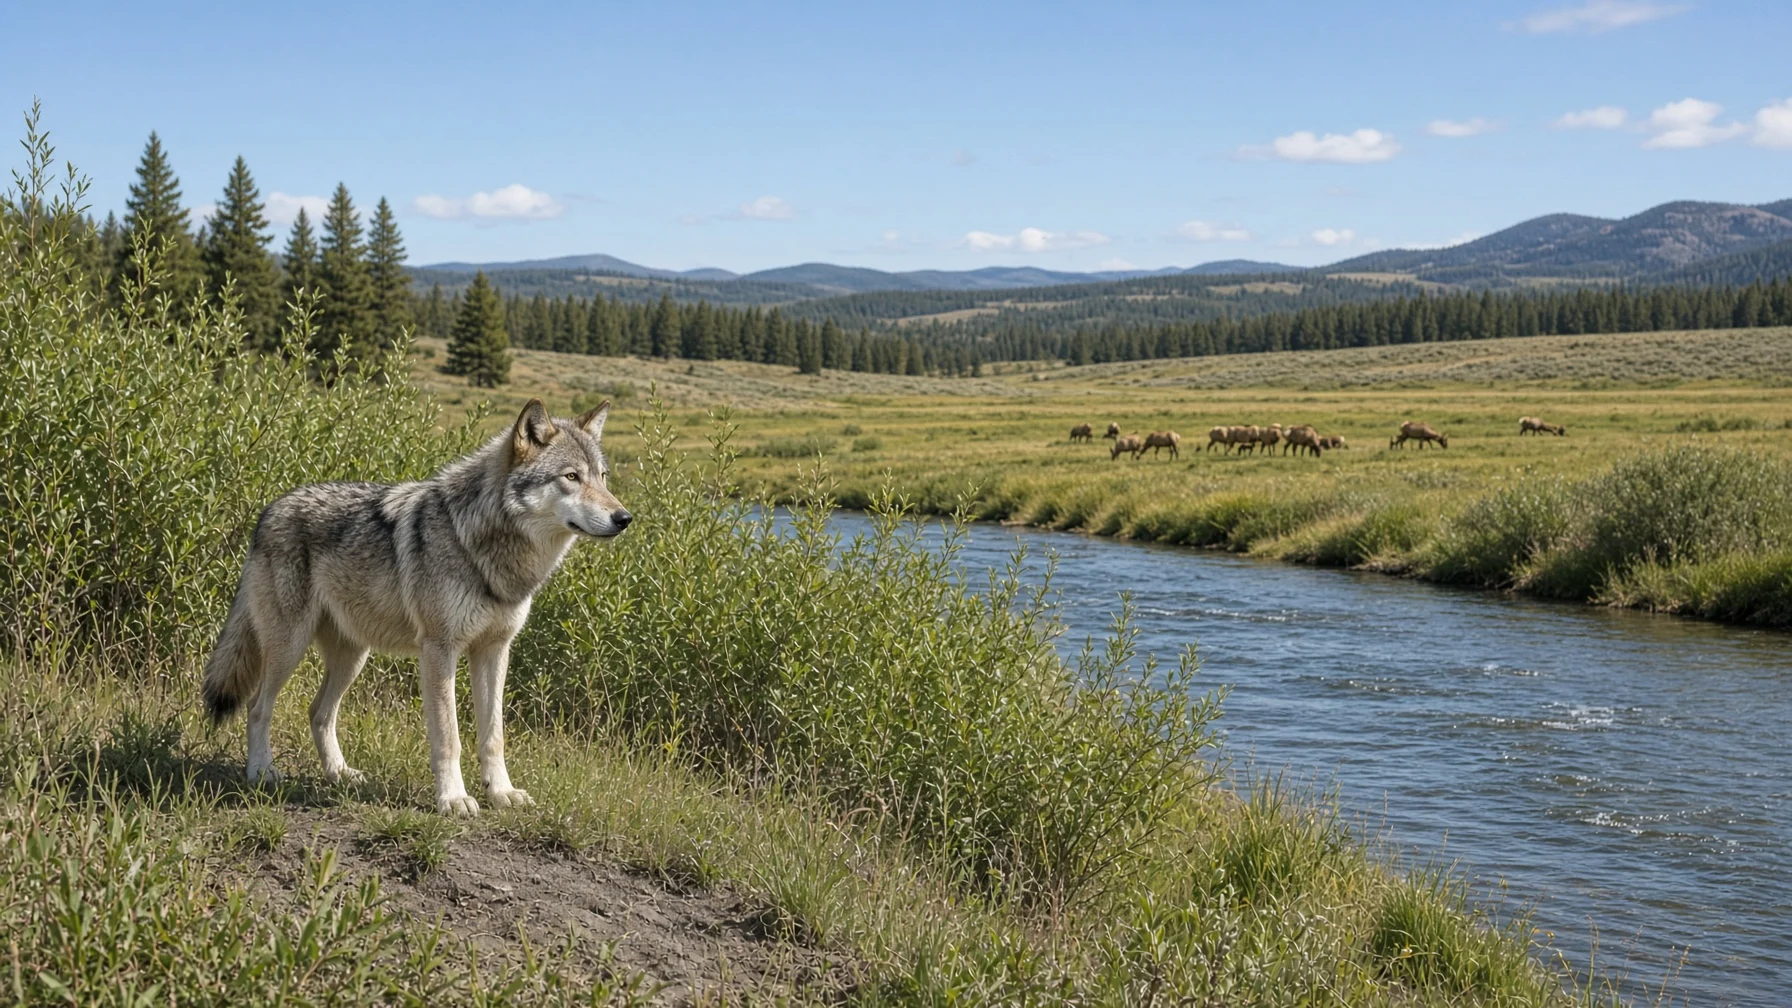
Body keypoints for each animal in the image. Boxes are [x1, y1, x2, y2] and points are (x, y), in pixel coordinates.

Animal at [202, 399, 630, 815]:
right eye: (571, 477)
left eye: (603, 477)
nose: (624, 517)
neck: (479, 545)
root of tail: (270, 509)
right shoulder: (439, 650)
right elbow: (449, 736)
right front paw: (453, 799)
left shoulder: (494, 650)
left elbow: (494, 736)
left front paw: (501, 793)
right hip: (289, 648)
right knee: (257, 706)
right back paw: (261, 771)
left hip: (353, 657)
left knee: (319, 713)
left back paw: (340, 774)